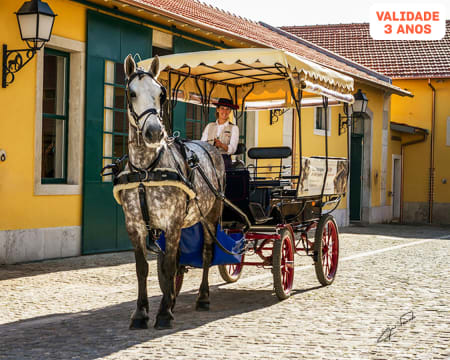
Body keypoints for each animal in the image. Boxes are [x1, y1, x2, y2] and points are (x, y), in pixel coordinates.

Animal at [118, 55, 225, 330]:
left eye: (161, 94)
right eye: (131, 93)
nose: (155, 132)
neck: (146, 170)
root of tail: (211, 146)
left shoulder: (172, 223)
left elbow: (167, 266)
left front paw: (164, 313)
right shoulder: (134, 225)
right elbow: (144, 269)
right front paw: (141, 313)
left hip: (210, 217)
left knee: (207, 254)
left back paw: (203, 297)